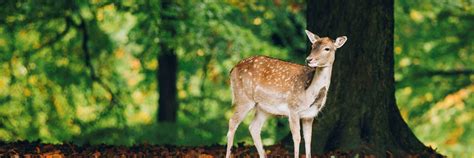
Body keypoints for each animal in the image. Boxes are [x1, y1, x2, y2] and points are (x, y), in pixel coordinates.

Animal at [224, 29, 346, 158]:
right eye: (313, 46)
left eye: (327, 48)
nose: (309, 59)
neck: (308, 93)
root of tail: (232, 70)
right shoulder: (293, 109)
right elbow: (297, 138)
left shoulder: (309, 115)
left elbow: (308, 140)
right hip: (244, 98)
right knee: (232, 122)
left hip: (264, 108)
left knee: (254, 127)